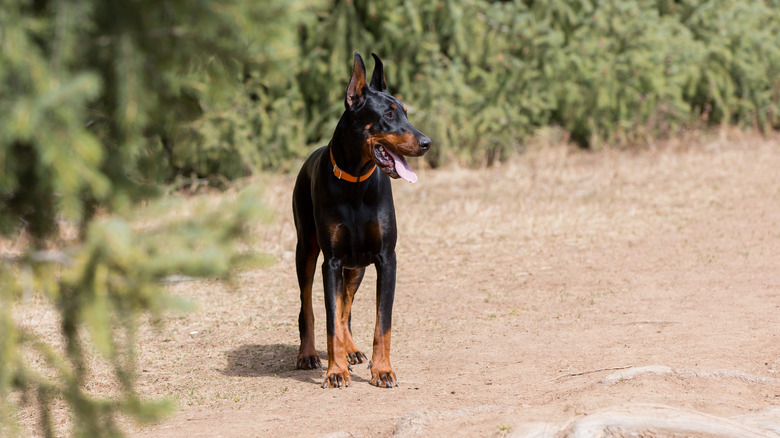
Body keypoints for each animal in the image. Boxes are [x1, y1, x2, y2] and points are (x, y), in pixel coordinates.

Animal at [290, 53, 430, 388]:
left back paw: (351, 350)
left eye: (406, 112)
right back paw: (308, 354)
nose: (426, 143)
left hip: (357, 267)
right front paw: (335, 371)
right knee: (309, 306)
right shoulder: (332, 261)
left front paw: (382, 369)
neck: (355, 182)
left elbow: (381, 322)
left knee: (345, 309)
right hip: (307, 252)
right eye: (388, 114)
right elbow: (329, 320)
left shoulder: (385, 258)